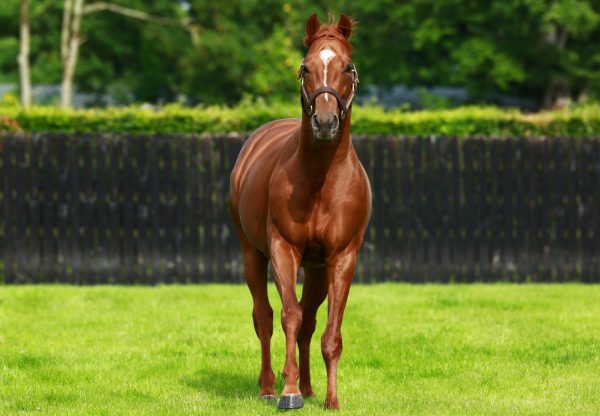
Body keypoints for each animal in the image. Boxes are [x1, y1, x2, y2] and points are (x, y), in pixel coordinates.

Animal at [230, 13, 370, 410]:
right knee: (264, 316)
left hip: (318, 270)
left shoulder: (342, 258)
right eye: (305, 68)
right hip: (252, 253)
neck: (321, 180)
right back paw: (268, 387)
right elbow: (288, 315)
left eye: (348, 67)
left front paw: (331, 400)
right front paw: (288, 392)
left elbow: (329, 330)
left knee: (309, 322)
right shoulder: (283, 249)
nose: (324, 122)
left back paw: (309, 388)